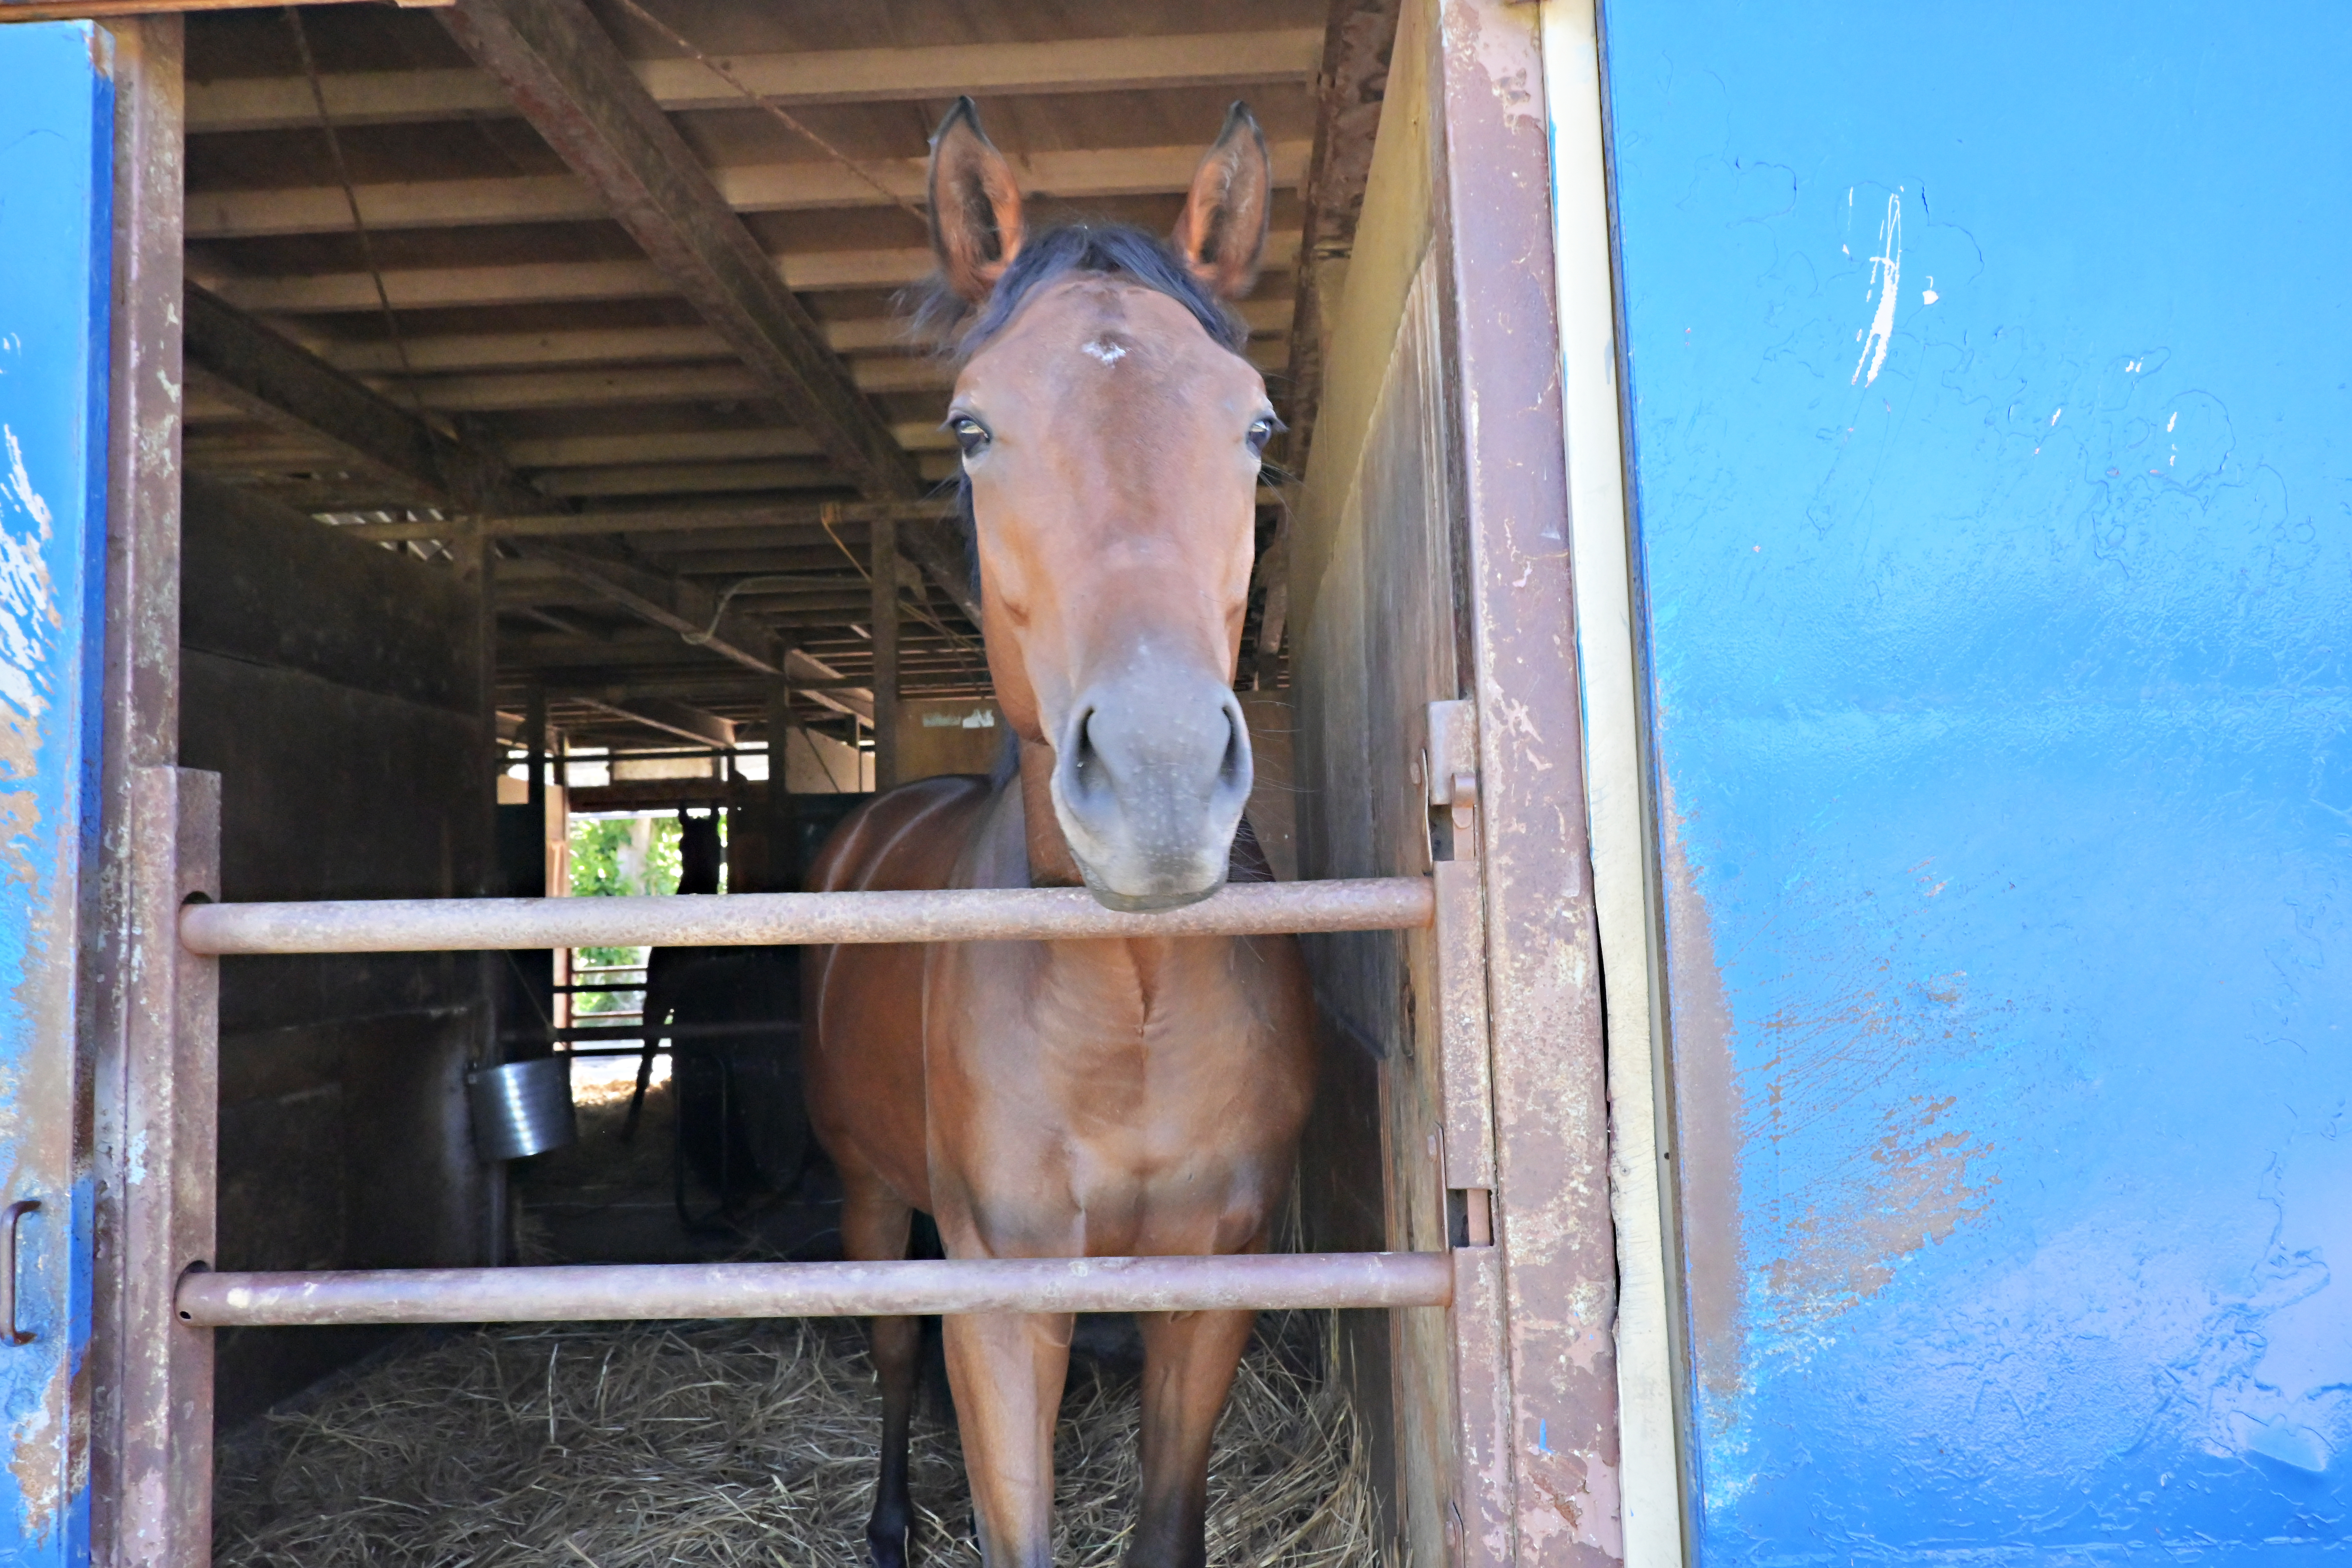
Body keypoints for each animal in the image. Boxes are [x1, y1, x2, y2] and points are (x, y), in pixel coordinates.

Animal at [801, 98, 1315, 1568]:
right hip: (870, 1200)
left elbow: (1167, 1522)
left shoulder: (1213, 1281)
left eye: (1256, 426)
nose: (1157, 777)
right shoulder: (1002, 1298)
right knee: (893, 1360)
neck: (1125, 1000)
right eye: (973, 429)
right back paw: (886, 1523)